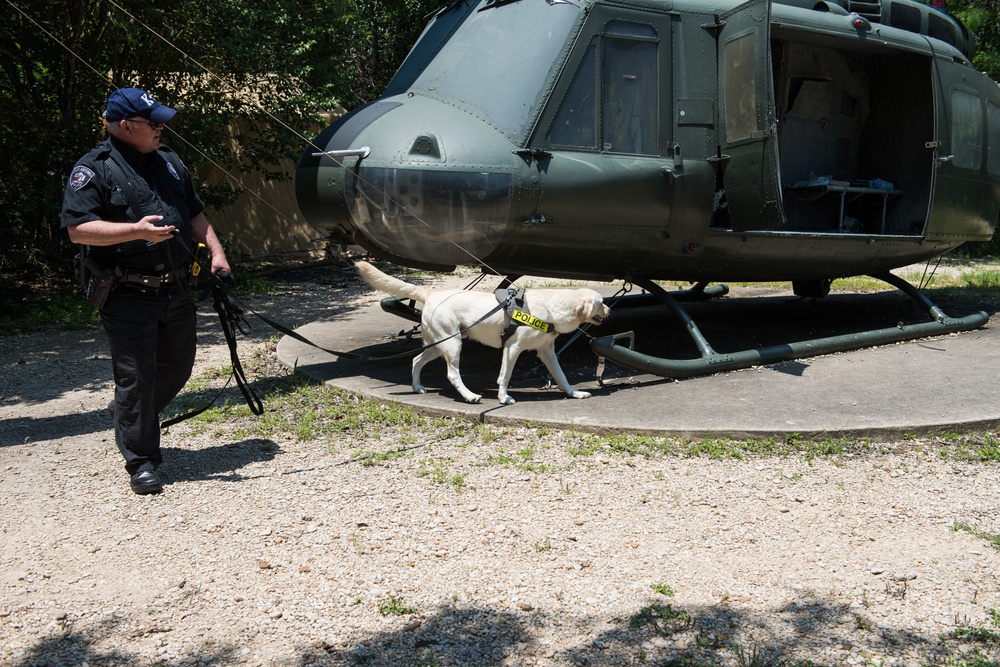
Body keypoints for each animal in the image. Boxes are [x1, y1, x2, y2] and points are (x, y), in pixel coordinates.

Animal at [360, 264, 608, 404]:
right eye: (601, 303)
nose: (610, 310)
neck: (550, 308)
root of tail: (431, 293)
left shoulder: (546, 352)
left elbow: (561, 376)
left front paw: (574, 393)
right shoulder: (512, 348)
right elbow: (504, 376)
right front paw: (503, 398)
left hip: (438, 345)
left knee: (416, 360)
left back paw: (417, 387)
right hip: (452, 345)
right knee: (452, 374)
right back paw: (469, 396)